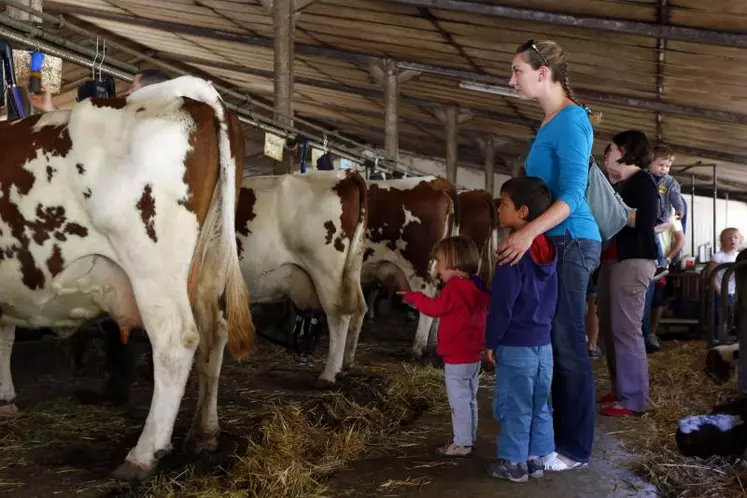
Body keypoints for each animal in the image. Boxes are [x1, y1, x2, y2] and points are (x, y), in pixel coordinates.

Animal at [0, 78, 254, 482]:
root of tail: (188, 94)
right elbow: (5, 335)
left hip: (152, 266)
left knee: (176, 340)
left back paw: (143, 454)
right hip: (208, 261)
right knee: (214, 332)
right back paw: (203, 434)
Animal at [237, 169, 368, 384]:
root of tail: (345, 174)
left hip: (327, 272)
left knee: (339, 313)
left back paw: (329, 374)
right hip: (352, 268)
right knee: (359, 308)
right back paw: (346, 364)